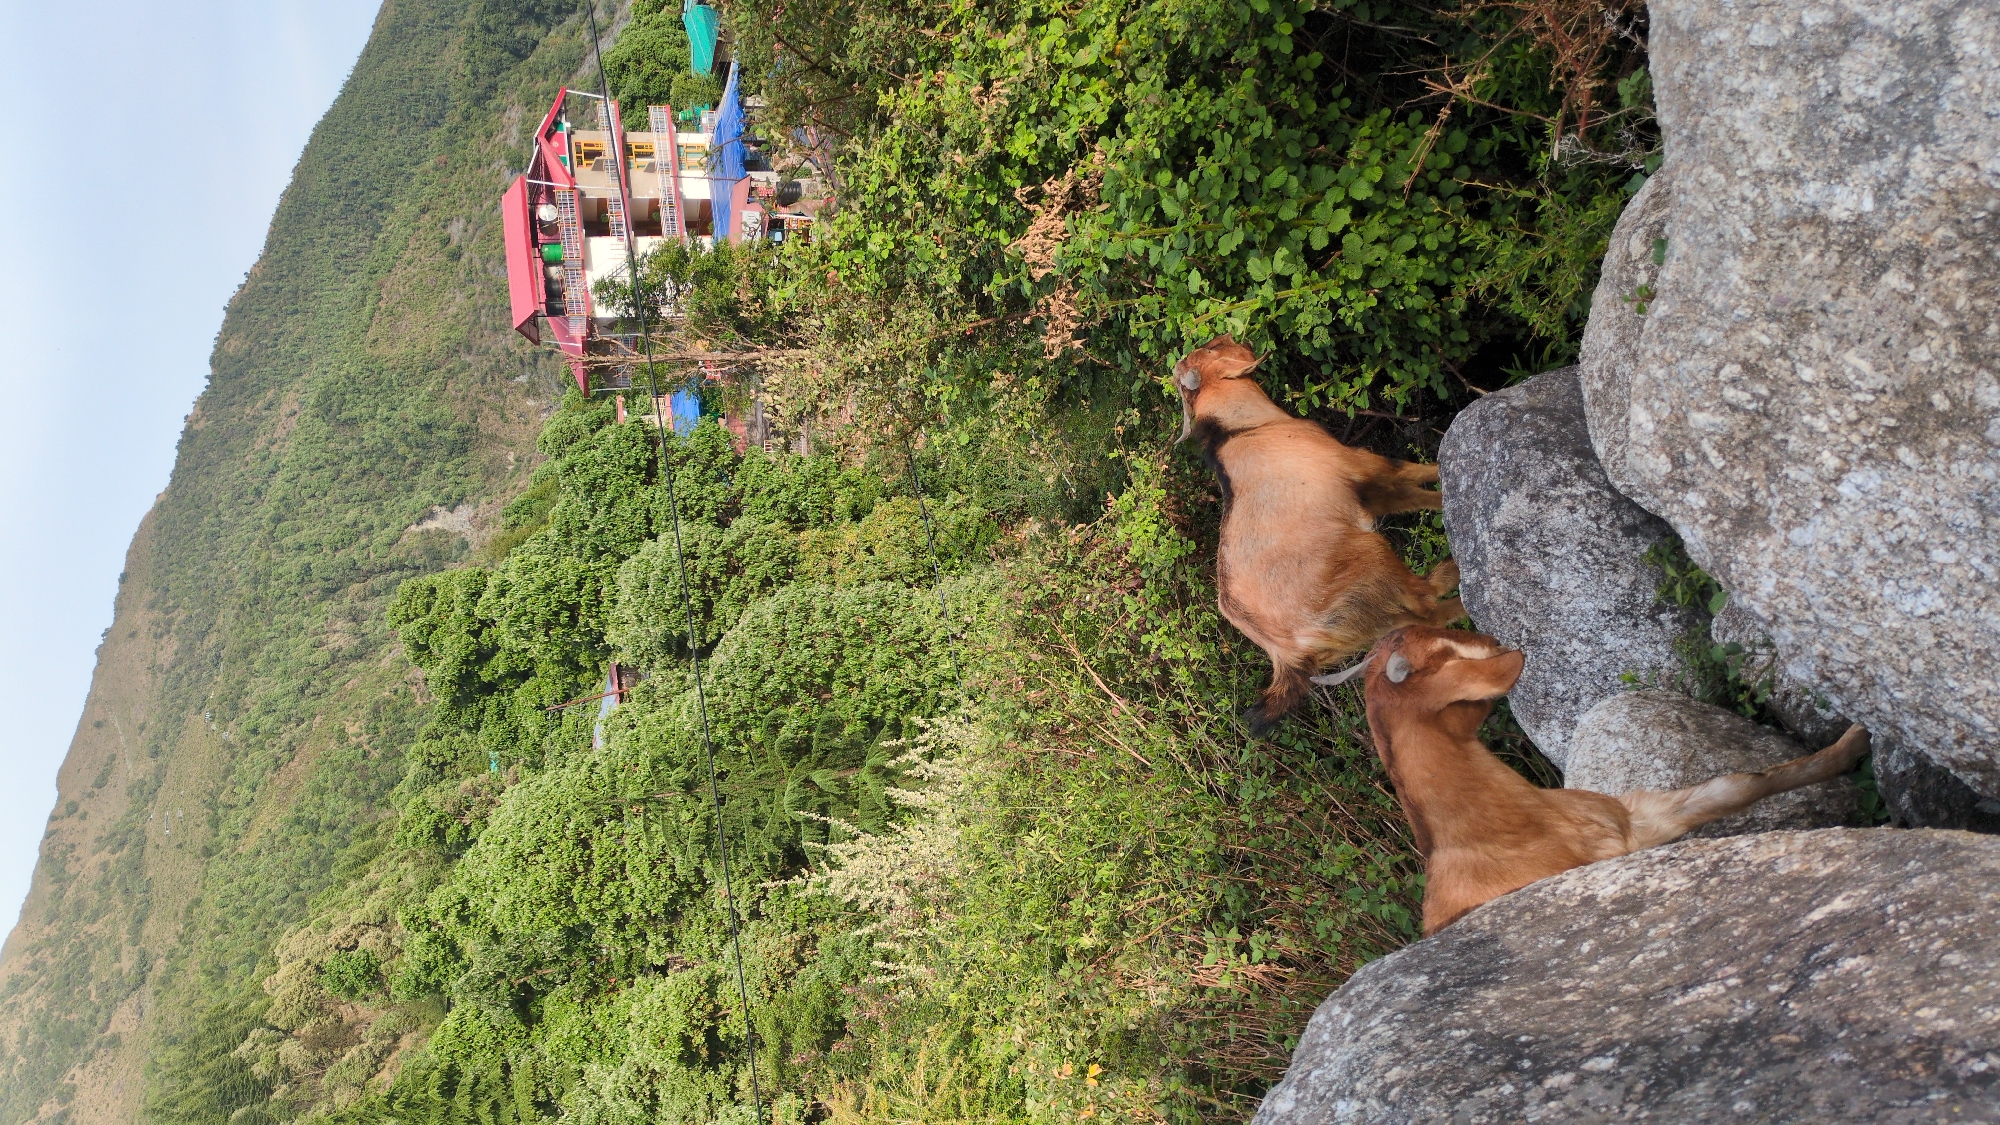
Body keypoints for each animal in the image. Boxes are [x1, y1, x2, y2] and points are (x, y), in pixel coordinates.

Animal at [1174, 336, 1461, 734]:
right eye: (1214, 351)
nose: (1240, 340)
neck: (1243, 428)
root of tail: (1284, 653)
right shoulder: (1359, 465)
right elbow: (1409, 471)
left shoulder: (1369, 493)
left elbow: (1415, 496)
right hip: (1368, 561)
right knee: (1427, 600)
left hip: (1366, 618)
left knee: (1424, 619)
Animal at [1337, 625, 1872, 935]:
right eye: (1445, 651)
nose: (1491, 637)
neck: (1509, 831)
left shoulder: (1635, 820)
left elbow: (1740, 785)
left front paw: (1856, 741)